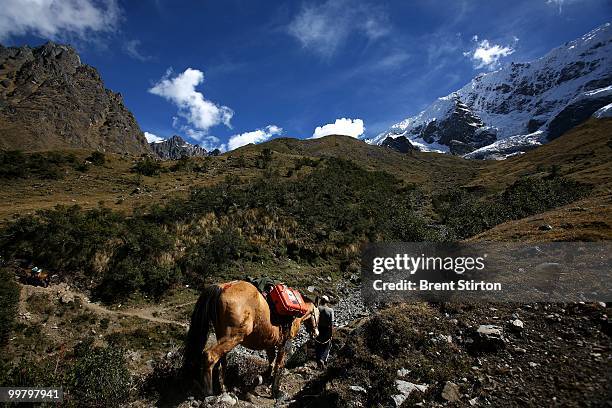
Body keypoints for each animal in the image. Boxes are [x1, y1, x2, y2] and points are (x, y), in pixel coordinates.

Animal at [182, 280, 320, 398]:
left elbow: (271, 360)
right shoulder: (285, 343)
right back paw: (208, 391)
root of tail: (223, 287)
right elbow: (279, 364)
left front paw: (267, 378)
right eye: (318, 314)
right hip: (233, 337)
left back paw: (223, 388)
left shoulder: (269, 342)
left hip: (222, 335)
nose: (316, 333)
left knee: (222, 362)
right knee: (210, 355)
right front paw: (275, 391)